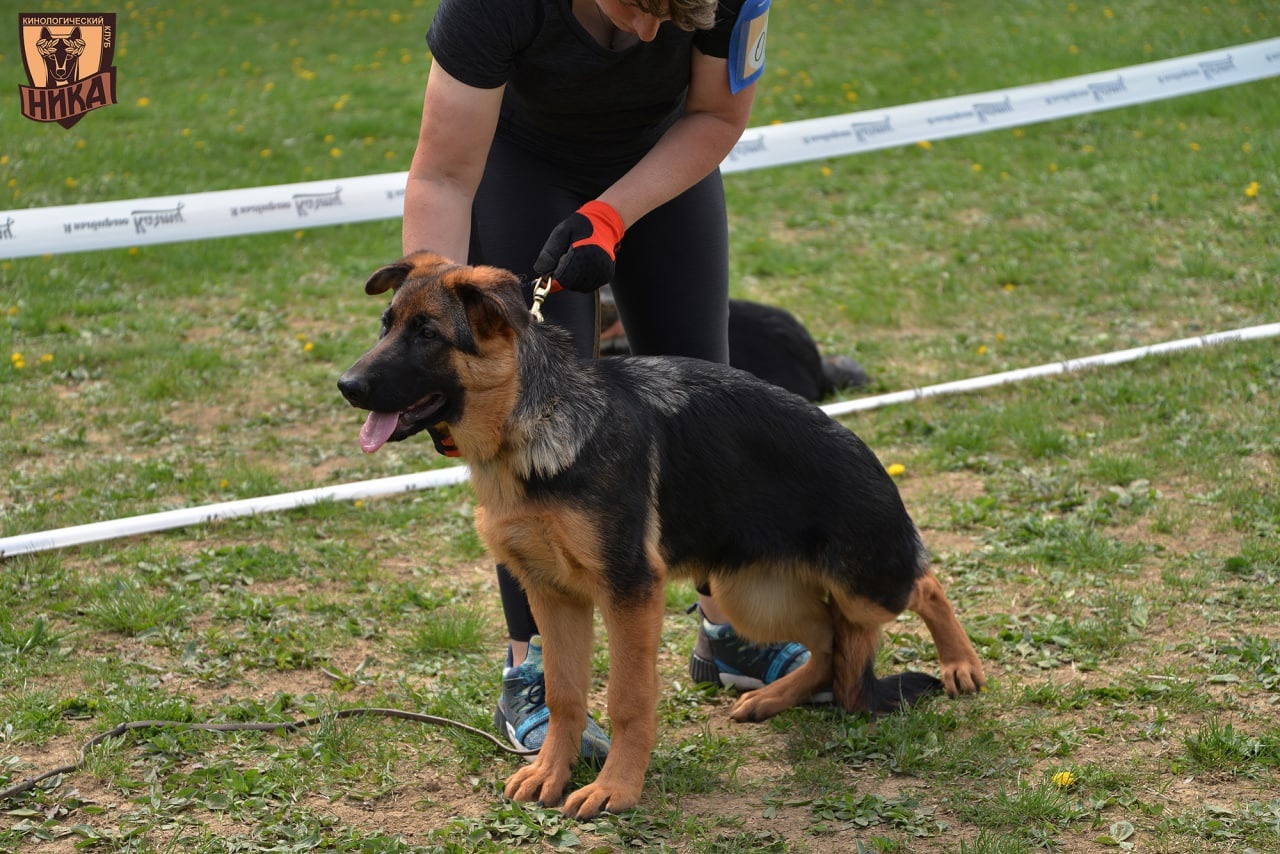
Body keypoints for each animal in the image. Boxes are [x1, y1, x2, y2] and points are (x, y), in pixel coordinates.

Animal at [335, 253, 983, 819]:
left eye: (427, 334)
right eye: (386, 325)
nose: (347, 385)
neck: (533, 423)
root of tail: (869, 456)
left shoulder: (629, 592)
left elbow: (626, 700)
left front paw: (615, 789)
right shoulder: (553, 596)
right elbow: (566, 694)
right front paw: (551, 772)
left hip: (861, 582)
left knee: (919, 587)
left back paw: (960, 664)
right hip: (753, 596)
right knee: (831, 644)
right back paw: (773, 696)